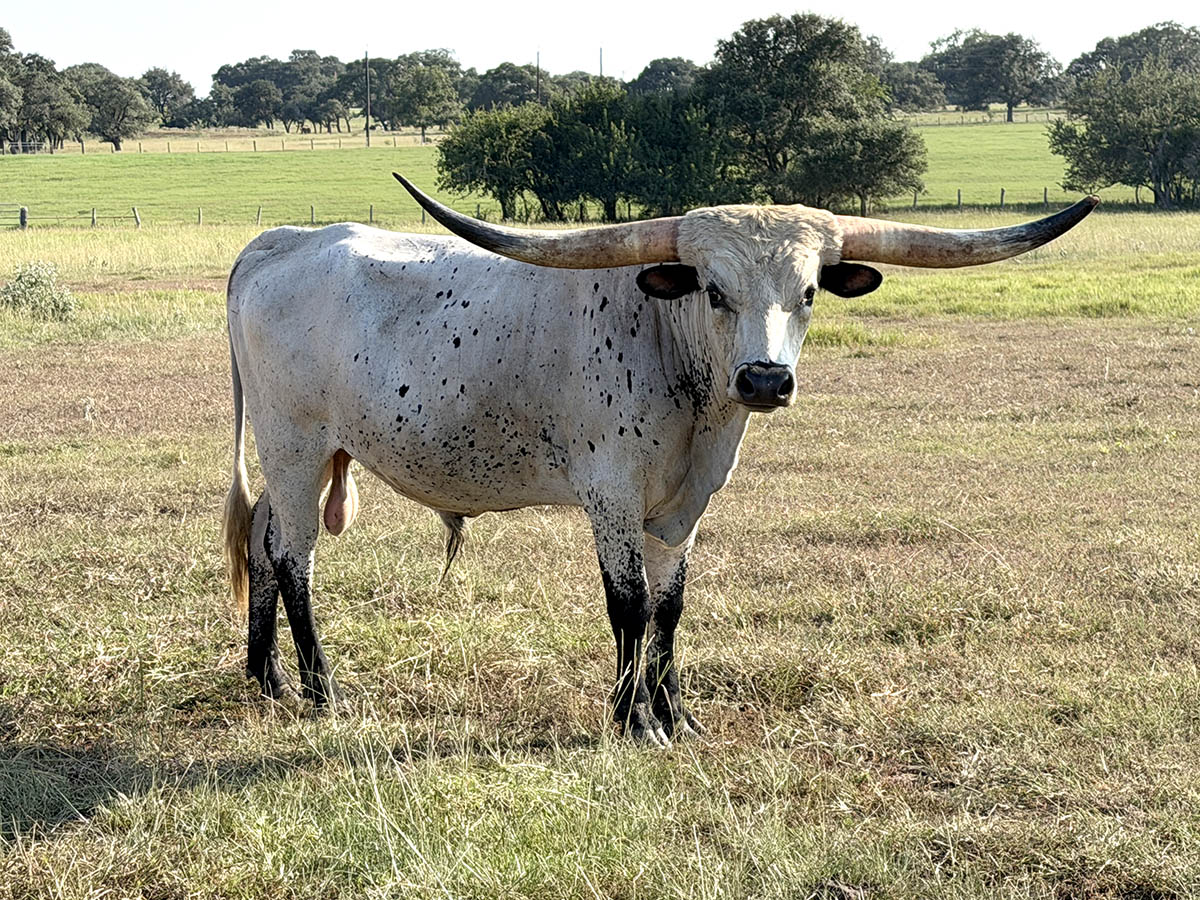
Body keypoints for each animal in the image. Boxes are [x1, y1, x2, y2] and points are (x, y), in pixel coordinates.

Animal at [222, 175, 1097, 745]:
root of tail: (280, 242)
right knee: (295, 556)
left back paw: (264, 678)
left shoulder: (685, 506)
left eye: (811, 291)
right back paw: (321, 689)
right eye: (712, 289)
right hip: (295, 444)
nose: (765, 379)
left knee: (264, 538)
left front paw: (678, 714)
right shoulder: (611, 495)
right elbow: (630, 605)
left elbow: (671, 608)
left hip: (306, 453)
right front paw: (631, 719)